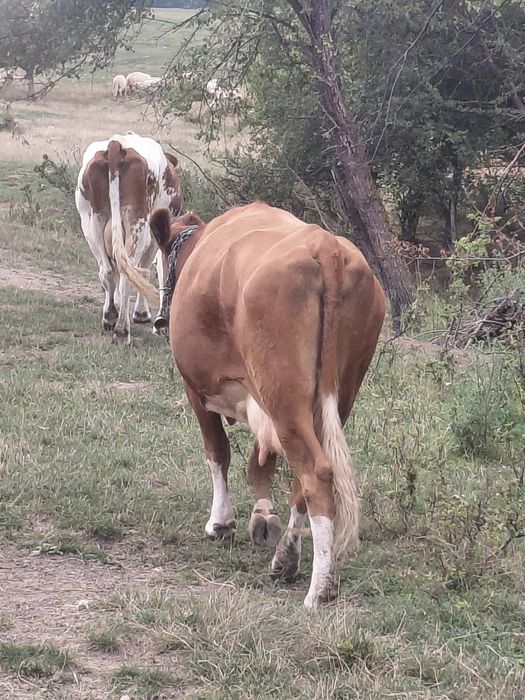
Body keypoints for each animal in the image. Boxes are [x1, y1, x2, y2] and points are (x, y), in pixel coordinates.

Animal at [75, 132, 181, 344]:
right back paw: (122, 331)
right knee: (127, 275)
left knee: (108, 271)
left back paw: (110, 317)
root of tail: (116, 144)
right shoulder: (155, 237)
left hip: (92, 222)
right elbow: (146, 270)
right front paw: (141, 314)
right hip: (137, 224)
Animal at [149, 202, 385, 608]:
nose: (157, 320)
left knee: (315, 473)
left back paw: (319, 588)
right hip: (336, 391)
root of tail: (324, 246)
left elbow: (218, 452)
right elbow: (260, 463)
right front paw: (262, 517)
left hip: (281, 390)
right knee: (308, 477)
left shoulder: (196, 389)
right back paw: (286, 558)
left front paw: (221, 522)